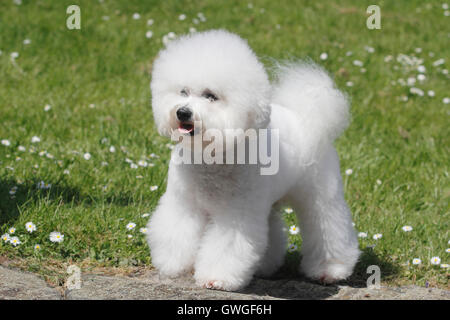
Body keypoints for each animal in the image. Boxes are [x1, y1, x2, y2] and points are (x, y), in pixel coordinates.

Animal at [146, 28, 360, 292]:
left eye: (211, 96)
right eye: (183, 91)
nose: (182, 112)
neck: (212, 155)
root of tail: (304, 117)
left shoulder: (236, 213)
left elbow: (227, 245)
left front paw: (217, 278)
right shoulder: (184, 203)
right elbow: (176, 232)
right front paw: (172, 264)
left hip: (320, 194)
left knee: (328, 226)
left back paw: (329, 270)